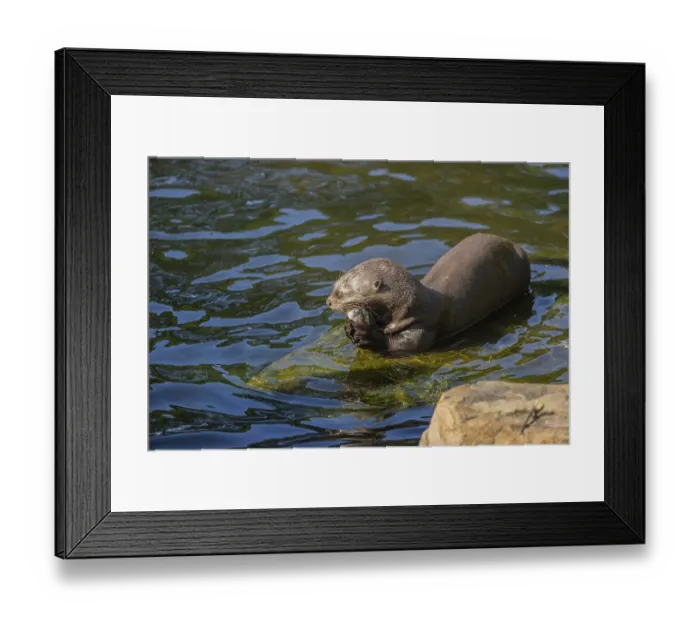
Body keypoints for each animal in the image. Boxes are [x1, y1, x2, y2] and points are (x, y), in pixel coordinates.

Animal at [326, 233, 531, 354]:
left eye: (340, 293)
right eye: (334, 287)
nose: (328, 301)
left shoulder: (425, 322)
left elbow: (405, 345)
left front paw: (366, 334)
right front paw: (349, 329)